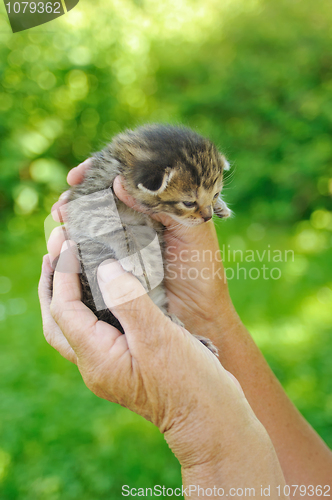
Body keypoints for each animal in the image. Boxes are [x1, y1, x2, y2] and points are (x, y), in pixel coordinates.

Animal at [64, 123, 231, 354]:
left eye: (214, 194)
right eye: (188, 203)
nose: (208, 216)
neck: (121, 166)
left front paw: (221, 206)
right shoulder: (86, 204)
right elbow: (116, 225)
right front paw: (136, 256)